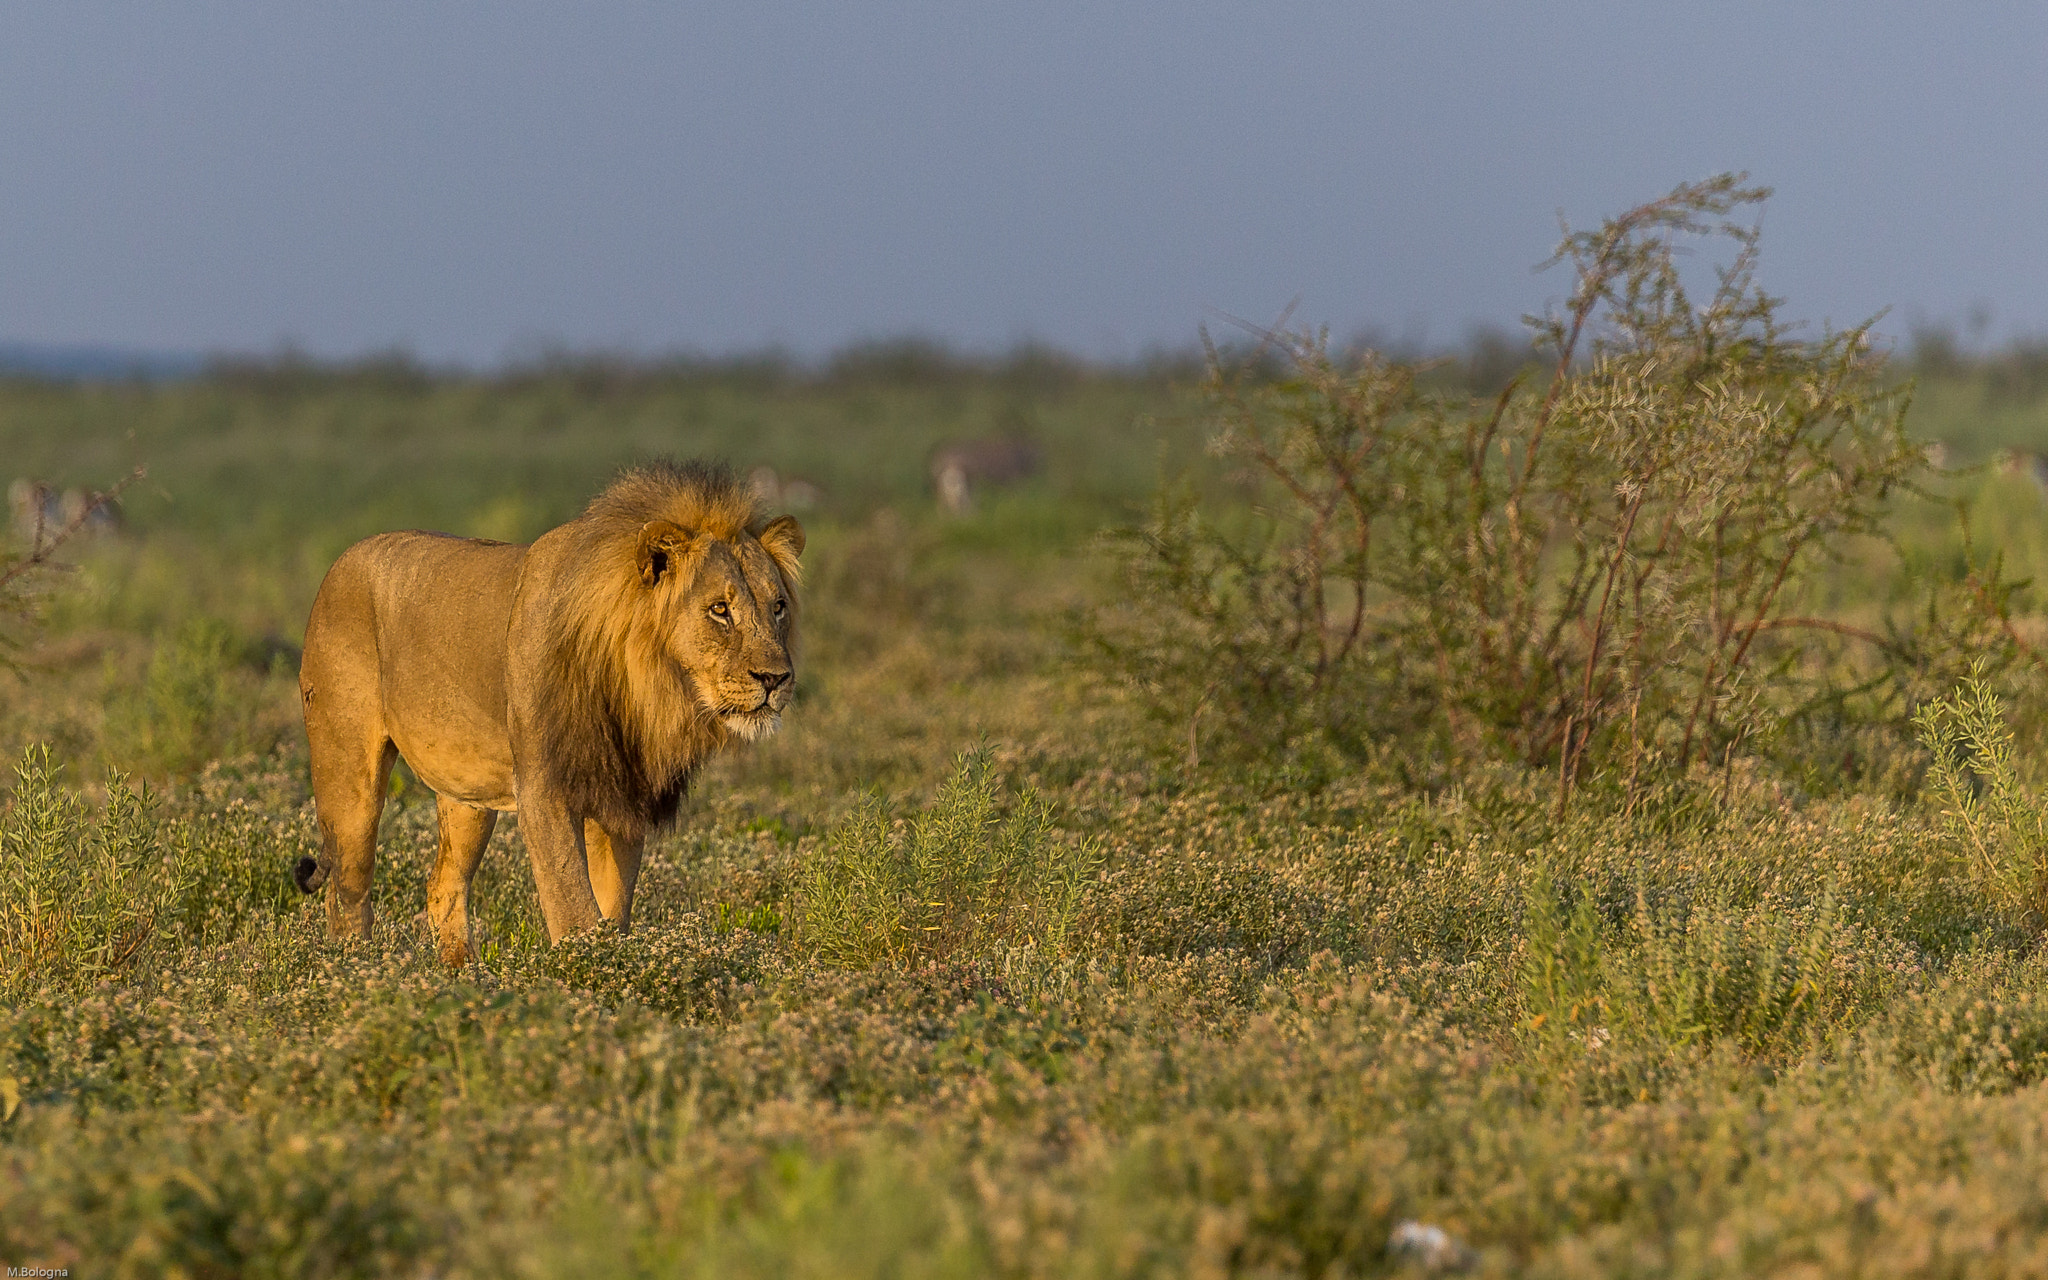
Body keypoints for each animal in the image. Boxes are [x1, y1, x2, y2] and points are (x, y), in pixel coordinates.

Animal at [292, 458, 802, 958]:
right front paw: (588, 972)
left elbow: (612, 911)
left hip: (467, 796)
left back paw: (464, 977)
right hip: (349, 778)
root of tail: (342, 559)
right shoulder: (544, 789)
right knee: (347, 891)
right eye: (719, 610)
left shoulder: (621, 798)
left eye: (778, 607)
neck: (645, 689)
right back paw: (356, 971)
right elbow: (573, 909)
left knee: (443, 887)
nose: (776, 679)